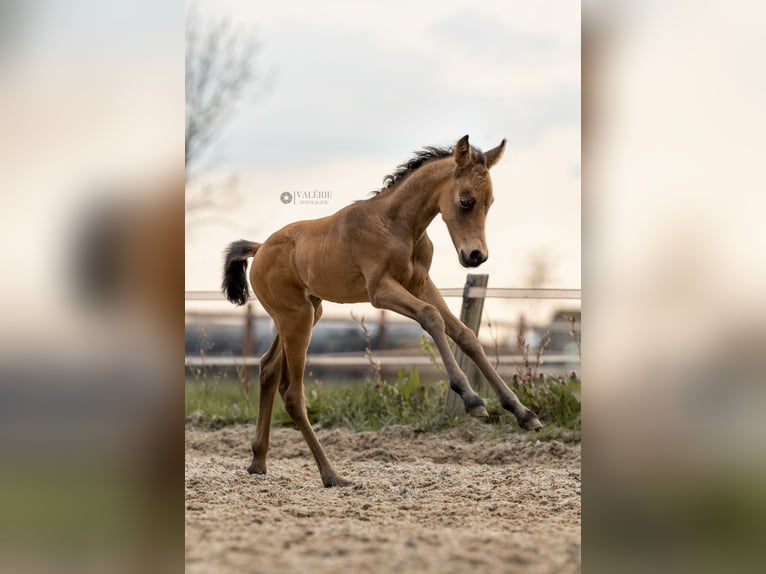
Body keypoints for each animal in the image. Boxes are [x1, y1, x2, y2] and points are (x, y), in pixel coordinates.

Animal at [222, 136, 544, 490]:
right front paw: (472, 399)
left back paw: (258, 461)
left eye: (490, 202)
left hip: (304, 314)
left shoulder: (420, 283)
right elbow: (431, 317)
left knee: (267, 368)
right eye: (465, 200)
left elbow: (465, 334)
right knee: (292, 393)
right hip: (297, 319)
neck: (397, 226)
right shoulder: (380, 291)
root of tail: (260, 248)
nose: (476, 256)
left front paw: (524, 413)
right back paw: (331, 475)